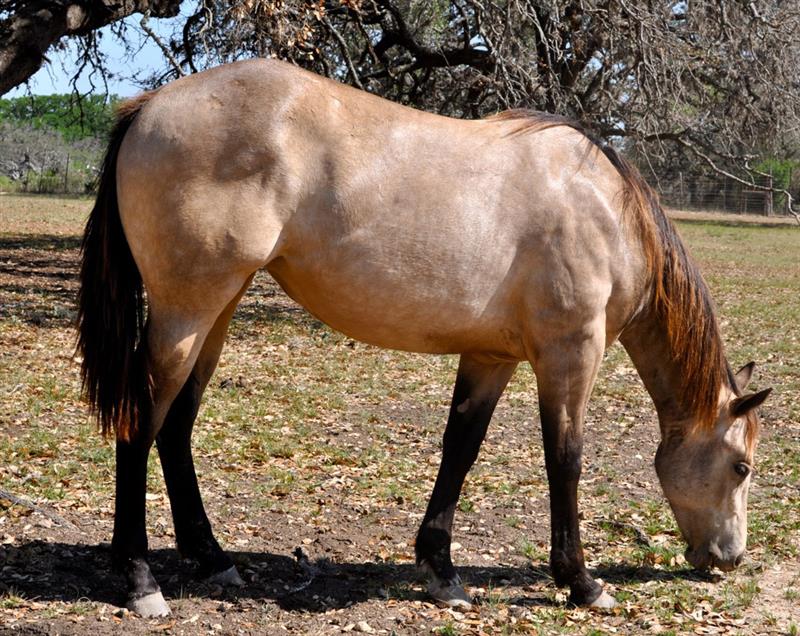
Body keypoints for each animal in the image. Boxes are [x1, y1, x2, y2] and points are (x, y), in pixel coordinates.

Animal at [78, 58, 772, 616]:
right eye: (740, 466)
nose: (730, 557)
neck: (604, 209)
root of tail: (149, 107)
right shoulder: (571, 353)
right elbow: (566, 460)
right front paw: (581, 582)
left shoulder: (492, 356)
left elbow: (459, 451)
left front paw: (441, 571)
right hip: (185, 314)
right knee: (142, 423)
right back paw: (140, 579)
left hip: (216, 311)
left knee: (176, 426)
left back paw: (214, 559)